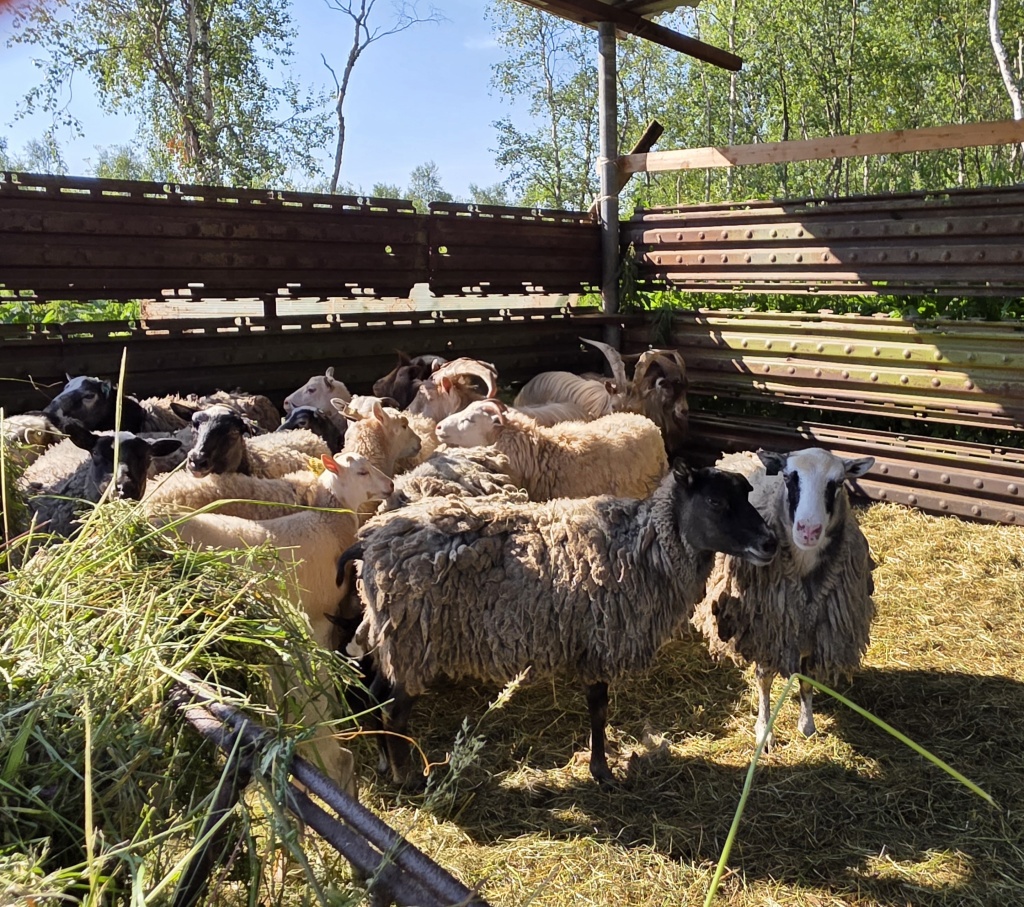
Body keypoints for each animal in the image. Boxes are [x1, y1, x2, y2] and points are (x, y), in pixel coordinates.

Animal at [341, 462, 778, 787]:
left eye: (747, 494)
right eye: (716, 500)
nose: (770, 543)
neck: (642, 548)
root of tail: (368, 541)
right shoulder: (600, 639)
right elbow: (599, 709)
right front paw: (602, 771)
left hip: (392, 638)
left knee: (372, 692)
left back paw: (384, 764)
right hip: (415, 639)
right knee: (393, 710)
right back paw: (407, 777)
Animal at [692, 447, 876, 751]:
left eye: (837, 483)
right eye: (790, 477)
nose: (808, 530)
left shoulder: (817, 632)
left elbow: (807, 680)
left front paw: (807, 725)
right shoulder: (765, 629)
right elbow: (764, 679)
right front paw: (764, 732)